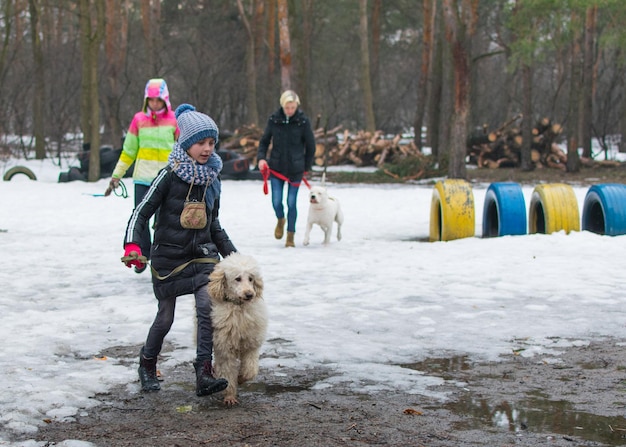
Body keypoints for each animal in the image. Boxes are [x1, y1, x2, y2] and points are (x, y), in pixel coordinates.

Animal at [207, 252, 266, 406]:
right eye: (237, 278)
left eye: (251, 279)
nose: (250, 294)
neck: (239, 308)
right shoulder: (225, 348)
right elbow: (227, 371)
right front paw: (229, 396)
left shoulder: (251, 344)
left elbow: (250, 370)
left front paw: (240, 378)